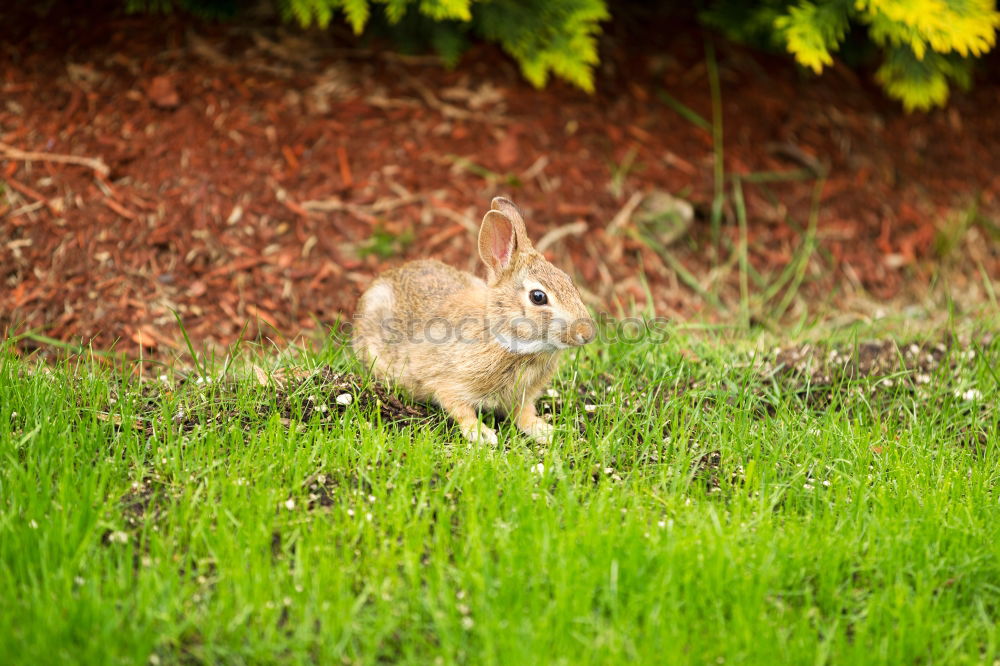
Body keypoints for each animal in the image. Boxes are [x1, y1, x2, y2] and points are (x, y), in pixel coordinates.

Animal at [354, 198, 592, 446]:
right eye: (538, 297)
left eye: (569, 281)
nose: (586, 333)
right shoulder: (446, 382)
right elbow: (460, 409)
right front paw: (482, 434)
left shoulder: (522, 397)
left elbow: (523, 413)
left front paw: (544, 430)